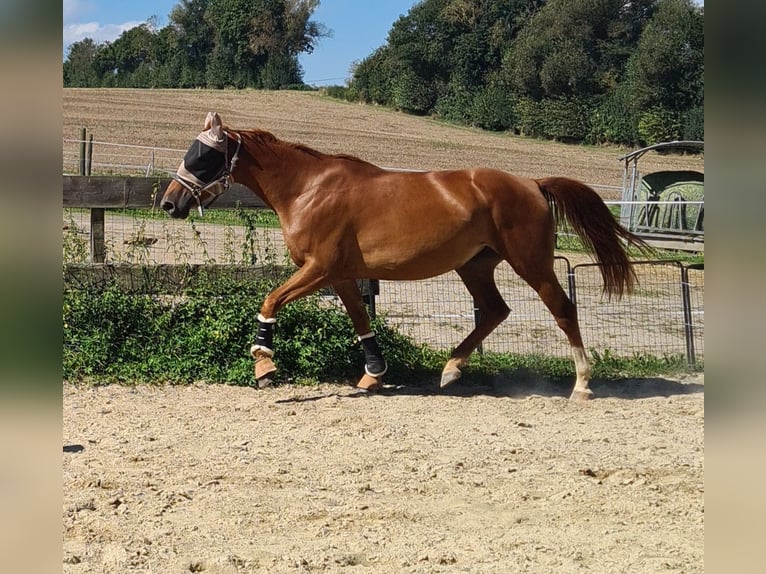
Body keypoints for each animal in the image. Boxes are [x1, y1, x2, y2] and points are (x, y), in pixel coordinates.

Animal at [164, 111, 648, 400]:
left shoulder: (318, 268)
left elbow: (270, 301)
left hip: (531, 263)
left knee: (562, 308)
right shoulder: (340, 274)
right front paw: (374, 373)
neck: (308, 189)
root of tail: (532, 183)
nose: (170, 203)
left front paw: (264, 363)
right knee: (494, 311)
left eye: (204, 155)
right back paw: (451, 369)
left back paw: (582, 385)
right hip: (474, 265)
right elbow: (360, 319)